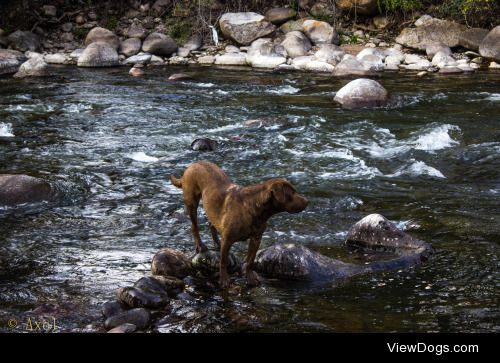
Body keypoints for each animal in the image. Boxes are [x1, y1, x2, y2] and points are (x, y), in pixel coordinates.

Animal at [170, 162, 306, 290]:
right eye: (291, 193)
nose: (307, 201)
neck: (256, 208)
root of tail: (192, 165)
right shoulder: (228, 239)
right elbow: (223, 261)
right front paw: (224, 280)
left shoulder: (256, 239)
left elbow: (250, 261)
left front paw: (250, 277)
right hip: (191, 203)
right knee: (194, 227)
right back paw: (200, 245)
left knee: (212, 223)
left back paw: (217, 242)